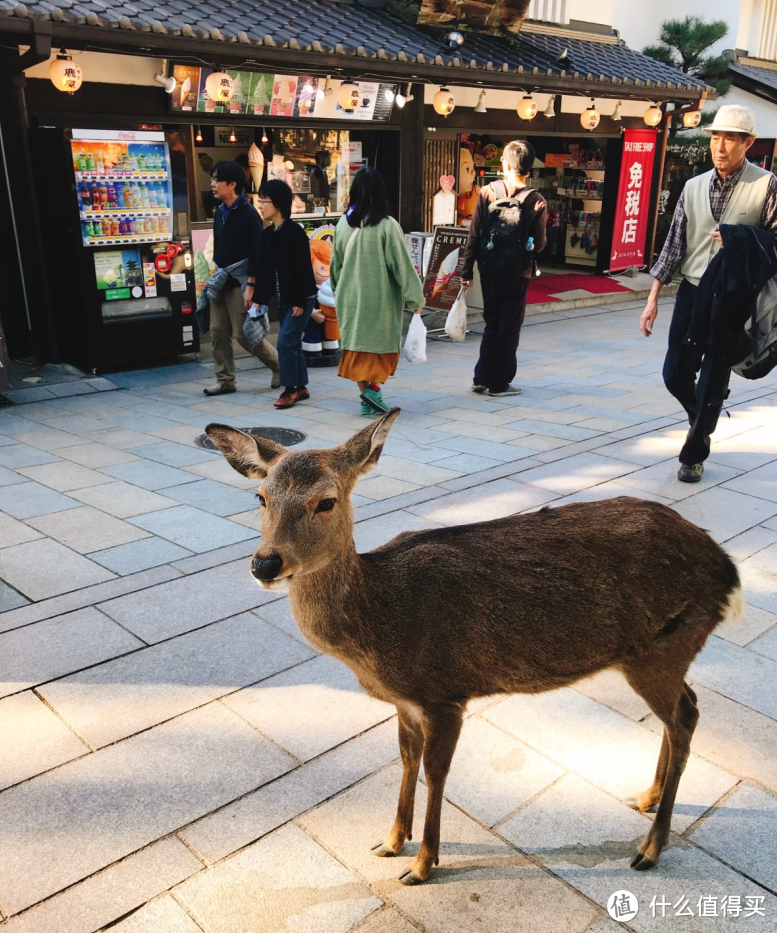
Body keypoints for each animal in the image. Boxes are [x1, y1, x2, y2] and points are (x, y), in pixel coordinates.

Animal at [205, 410, 740, 888]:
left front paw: (422, 866)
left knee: (686, 716)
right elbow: (406, 760)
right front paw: (390, 841)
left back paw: (650, 847)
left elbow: (436, 773)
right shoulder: (406, 702)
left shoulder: (446, 692)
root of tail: (727, 569)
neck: (377, 630)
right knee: (684, 709)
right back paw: (646, 798)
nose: (265, 563)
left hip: (662, 647)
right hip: (663, 651)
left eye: (327, 501)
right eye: (260, 496)